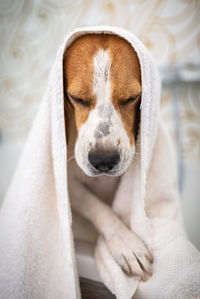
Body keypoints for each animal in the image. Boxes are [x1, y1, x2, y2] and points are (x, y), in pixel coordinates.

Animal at [64, 34, 153, 282]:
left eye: (132, 98)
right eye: (77, 98)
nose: (103, 161)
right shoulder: (70, 185)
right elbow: (97, 206)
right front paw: (125, 242)